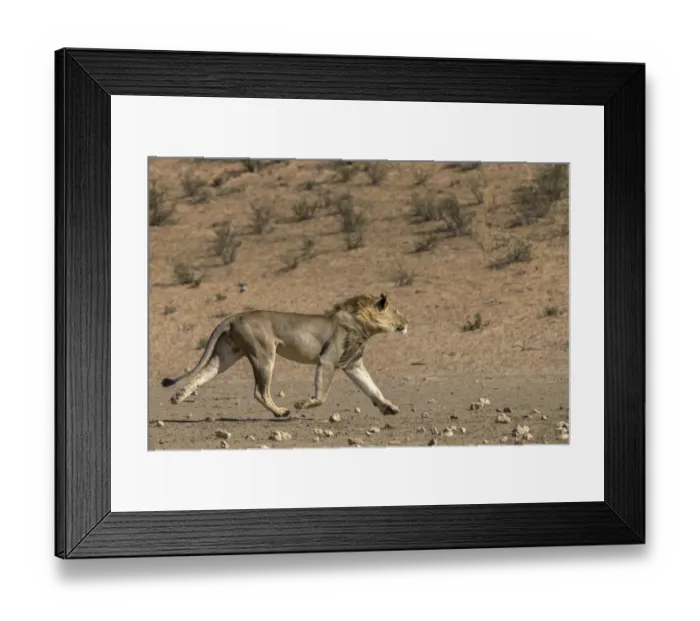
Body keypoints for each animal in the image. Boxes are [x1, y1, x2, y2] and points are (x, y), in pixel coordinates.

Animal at [161, 293, 409, 417]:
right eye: (397, 311)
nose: (407, 322)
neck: (363, 326)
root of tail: (235, 316)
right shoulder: (328, 360)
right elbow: (322, 395)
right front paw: (303, 403)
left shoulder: (353, 364)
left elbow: (372, 388)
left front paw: (388, 408)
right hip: (264, 354)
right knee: (260, 391)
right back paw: (281, 411)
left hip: (226, 355)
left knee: (202, 374)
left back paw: (178, 397)